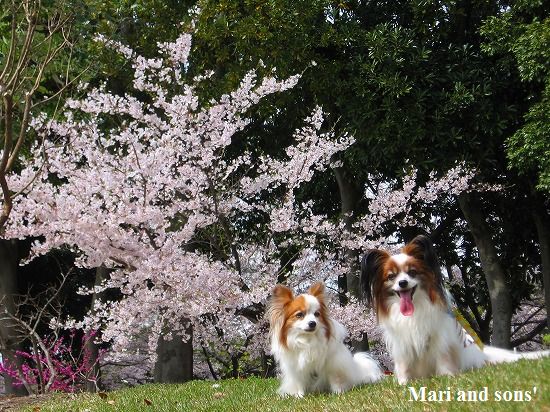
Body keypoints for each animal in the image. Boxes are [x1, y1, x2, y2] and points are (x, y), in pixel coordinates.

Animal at [360, 235, 549, 384]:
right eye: (391, 276)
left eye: (412, 272)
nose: (402, 283)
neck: (415, 308)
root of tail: (484, 355)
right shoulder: (402, 342)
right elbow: (404, 364)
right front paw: (403, 383)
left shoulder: (439, 336)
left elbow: (442, 356)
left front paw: (447, 376)